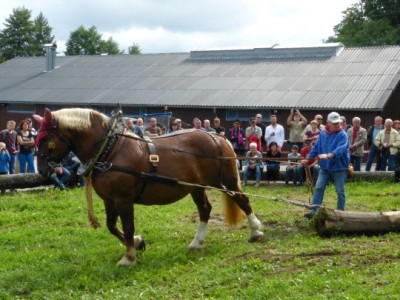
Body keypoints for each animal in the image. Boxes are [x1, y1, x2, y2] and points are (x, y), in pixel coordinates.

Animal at [31, 108, 262, 264]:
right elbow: (111, 226)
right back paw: (197, 242)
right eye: (37, 137)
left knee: (243, 200)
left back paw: (256, 231)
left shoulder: (123, 200)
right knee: (205, 210)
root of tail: (216, 137)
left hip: (225, 182)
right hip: (196, 187)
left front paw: (129, 256)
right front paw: (138, 242)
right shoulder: (109, 200)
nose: (41, 169)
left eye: (46, 138)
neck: (109, 149)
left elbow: (127, 226)